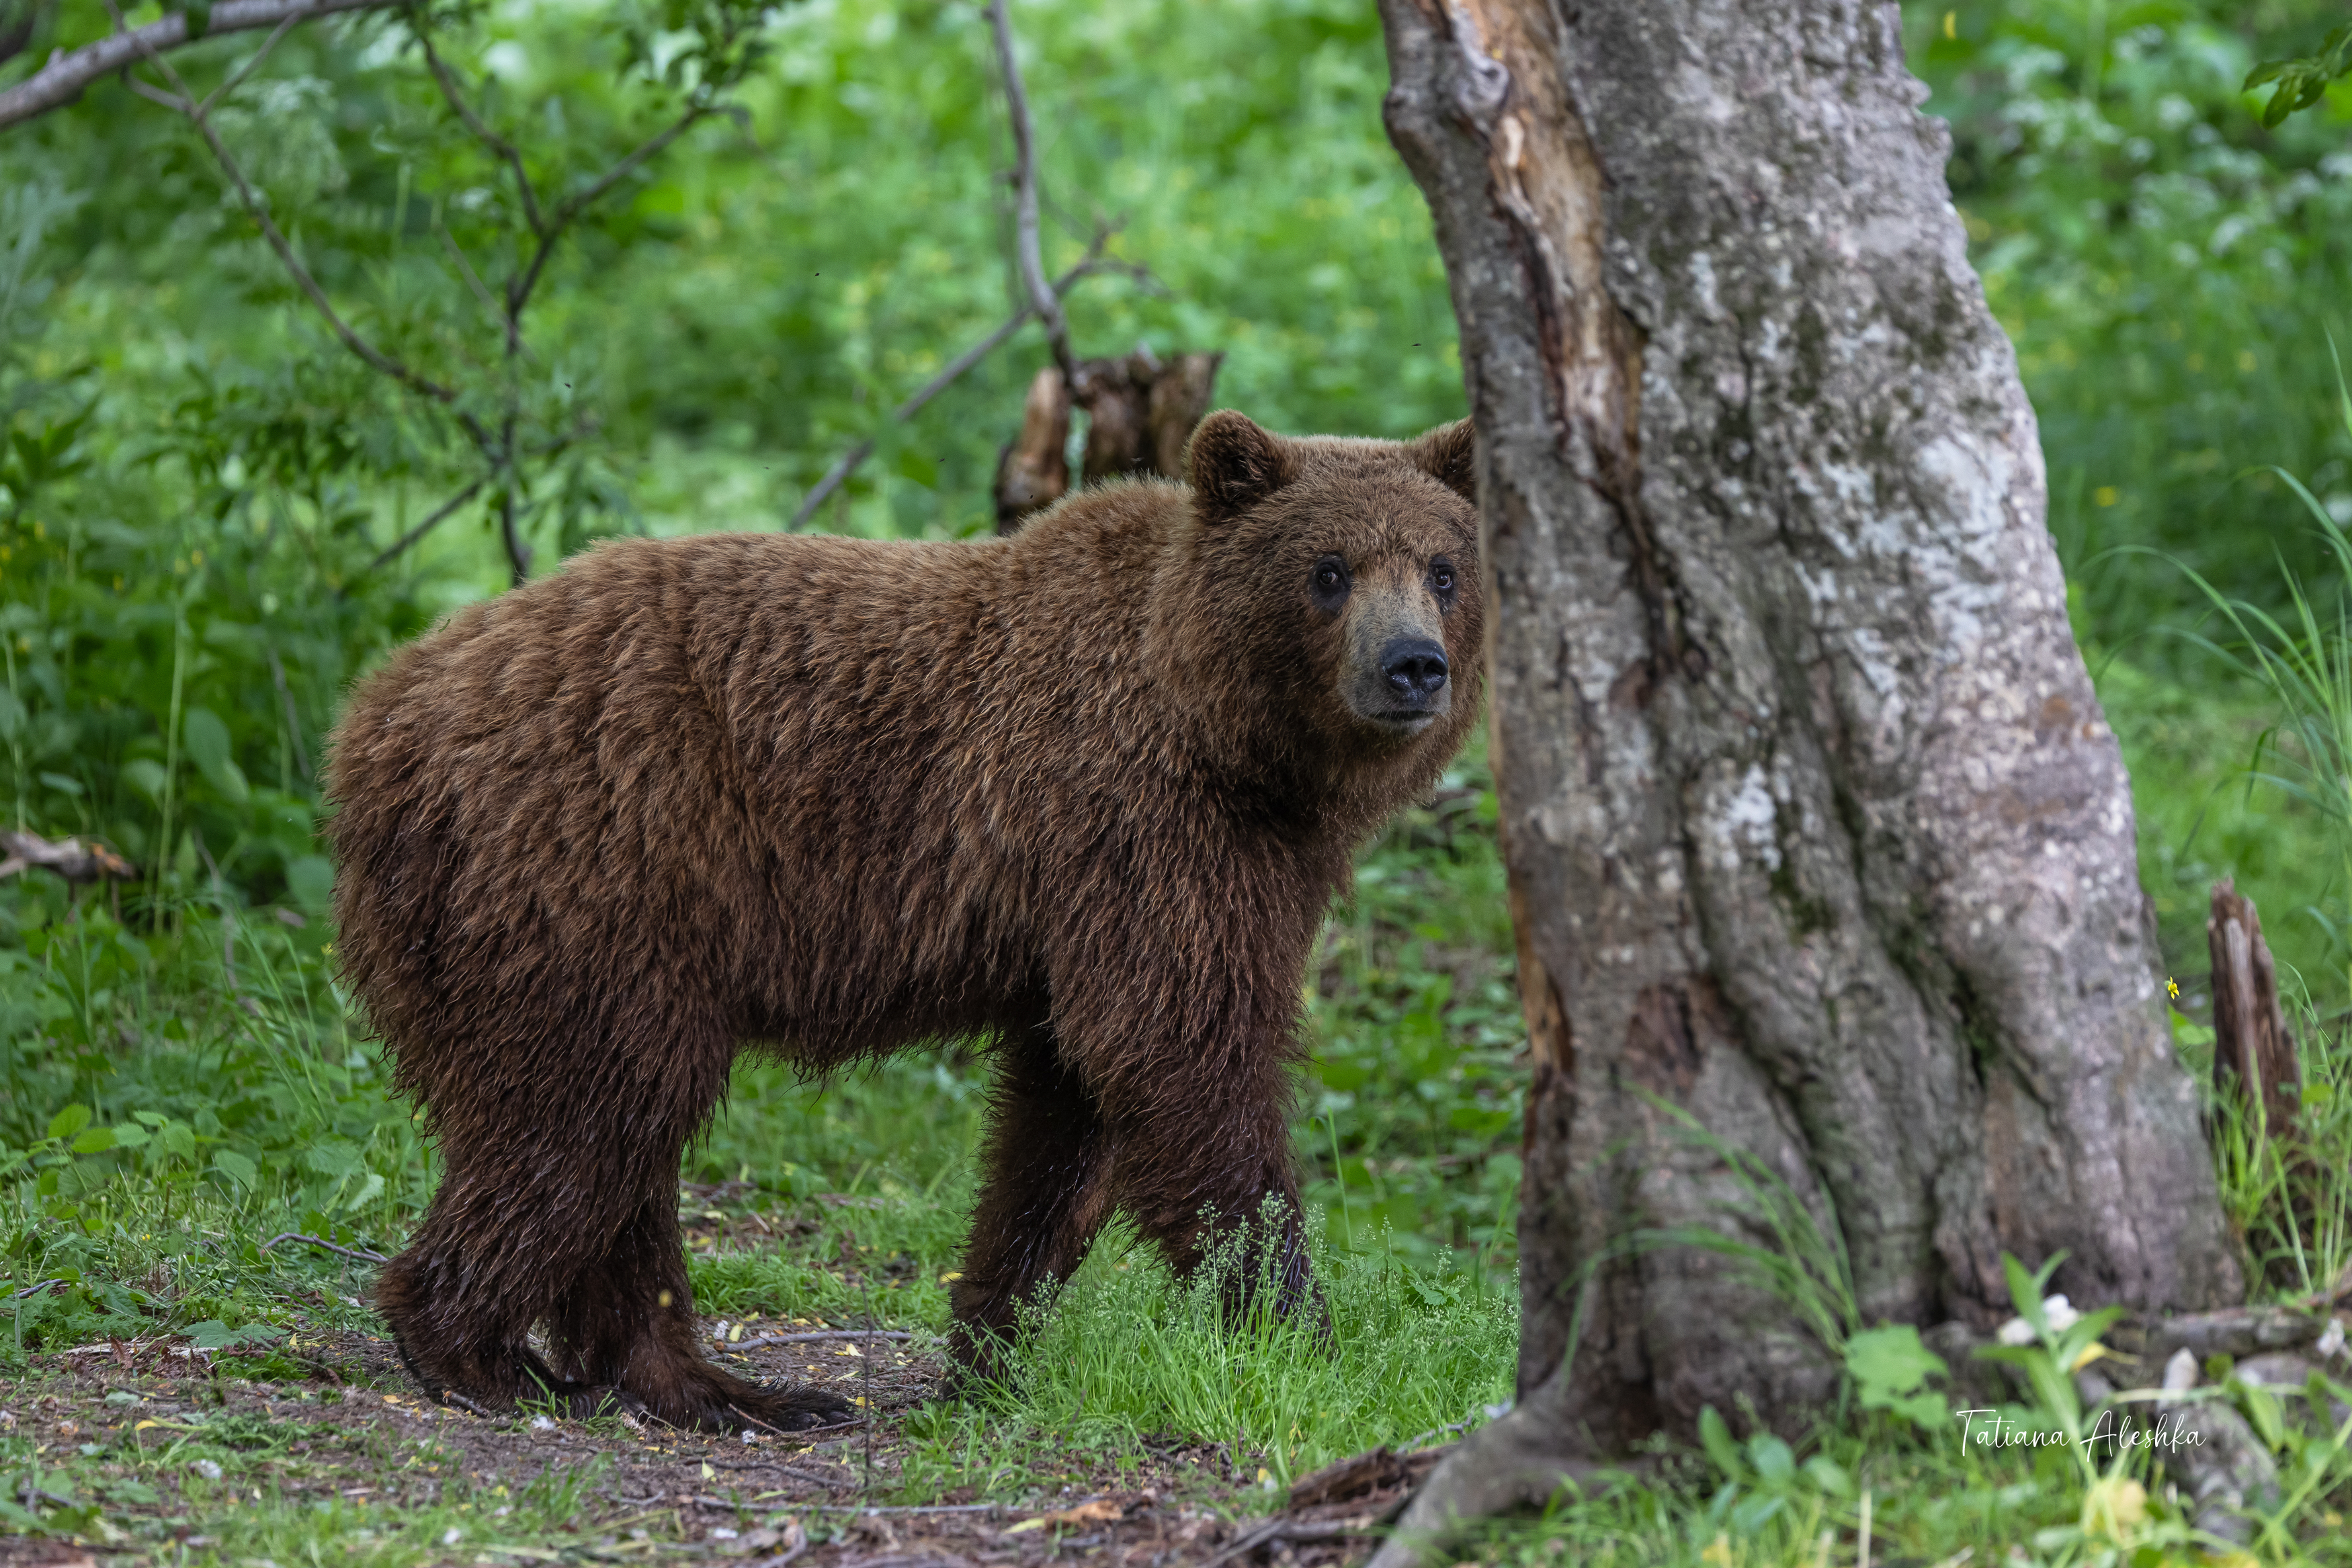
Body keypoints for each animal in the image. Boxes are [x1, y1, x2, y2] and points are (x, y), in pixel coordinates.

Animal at [325, 413, 1477, 1438]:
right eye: (1328, 568)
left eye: (1442, 567)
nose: (1413, 664)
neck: (1234, 742)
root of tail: (375, 718)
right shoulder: (1145, 826)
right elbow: (1188, 1061)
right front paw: (1302, 1339)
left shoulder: (1132, 897)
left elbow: (1063, 1123)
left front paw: (988, 1346)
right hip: (595, 873)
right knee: (589, 1112)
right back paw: (479, 1353)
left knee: (615, 1145)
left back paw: (723, 1387)